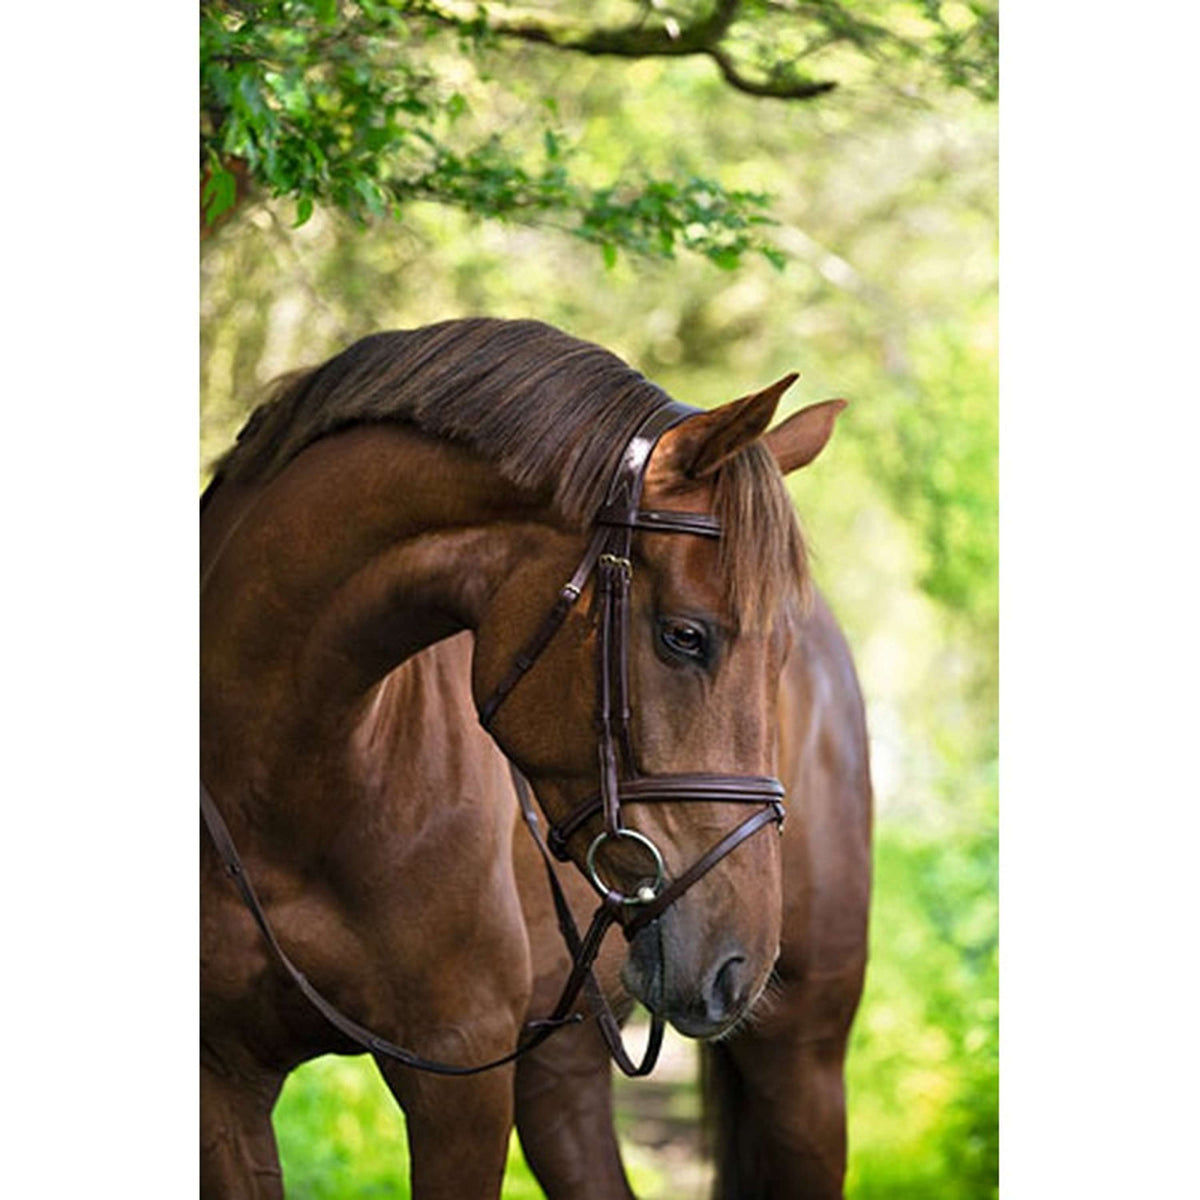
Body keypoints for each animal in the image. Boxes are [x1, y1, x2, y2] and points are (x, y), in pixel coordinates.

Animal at [201, 314, 849, 1195]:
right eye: (685, 636)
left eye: (779, 651)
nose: (737, 964)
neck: (282, 785)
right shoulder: (222, 1086)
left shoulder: (461, 1079)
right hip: (564, 1061)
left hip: (805, 1063)